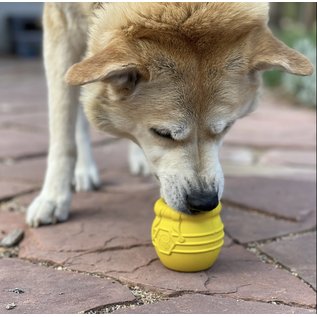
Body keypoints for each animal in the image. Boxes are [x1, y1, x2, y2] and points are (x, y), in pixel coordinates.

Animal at [25, 1, 312, 225]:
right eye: (161, 133)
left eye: (226, 128)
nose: (204, 201)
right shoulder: (60, 22)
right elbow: (63, 133)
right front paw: (53, 197)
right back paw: (84, 171)